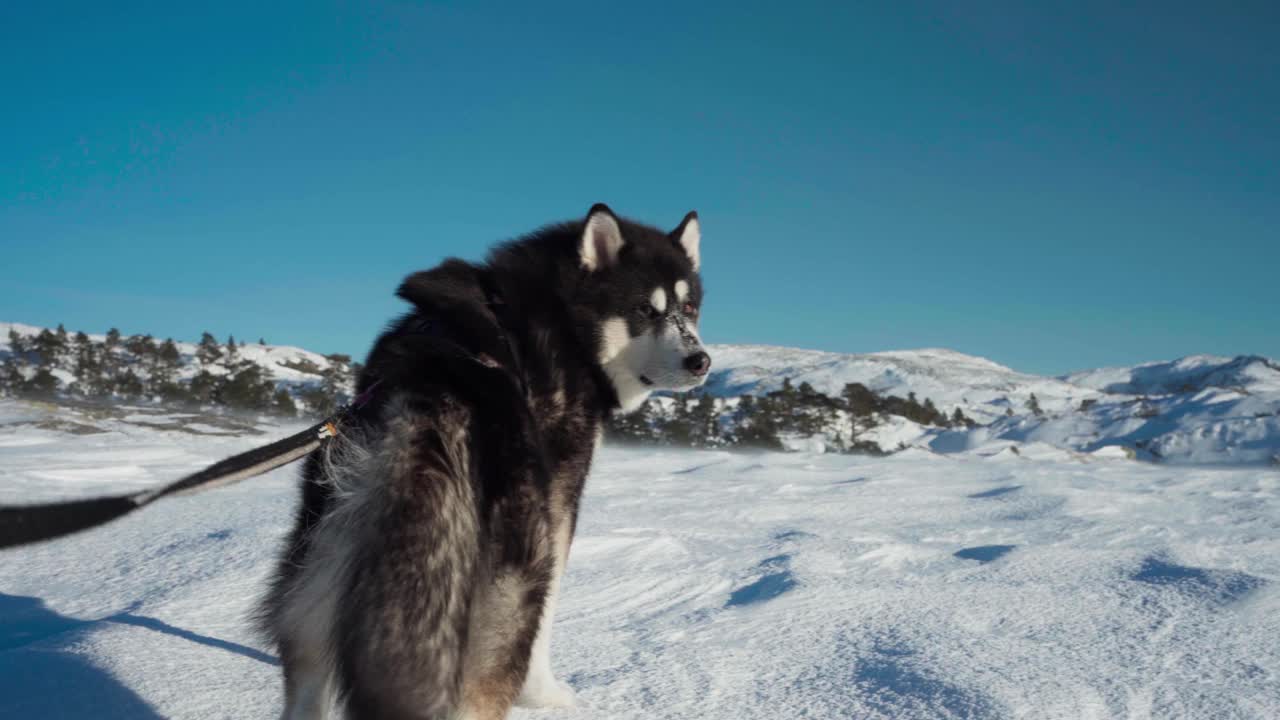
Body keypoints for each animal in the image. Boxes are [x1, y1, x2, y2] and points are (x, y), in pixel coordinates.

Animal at [254, 203, 706, 717]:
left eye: (689, 308)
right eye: (644, 311)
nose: (701, 361)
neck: (566, 321)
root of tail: (427, 389)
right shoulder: (560, 506)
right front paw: (547, 696)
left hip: (315, 580)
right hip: (506, 590)